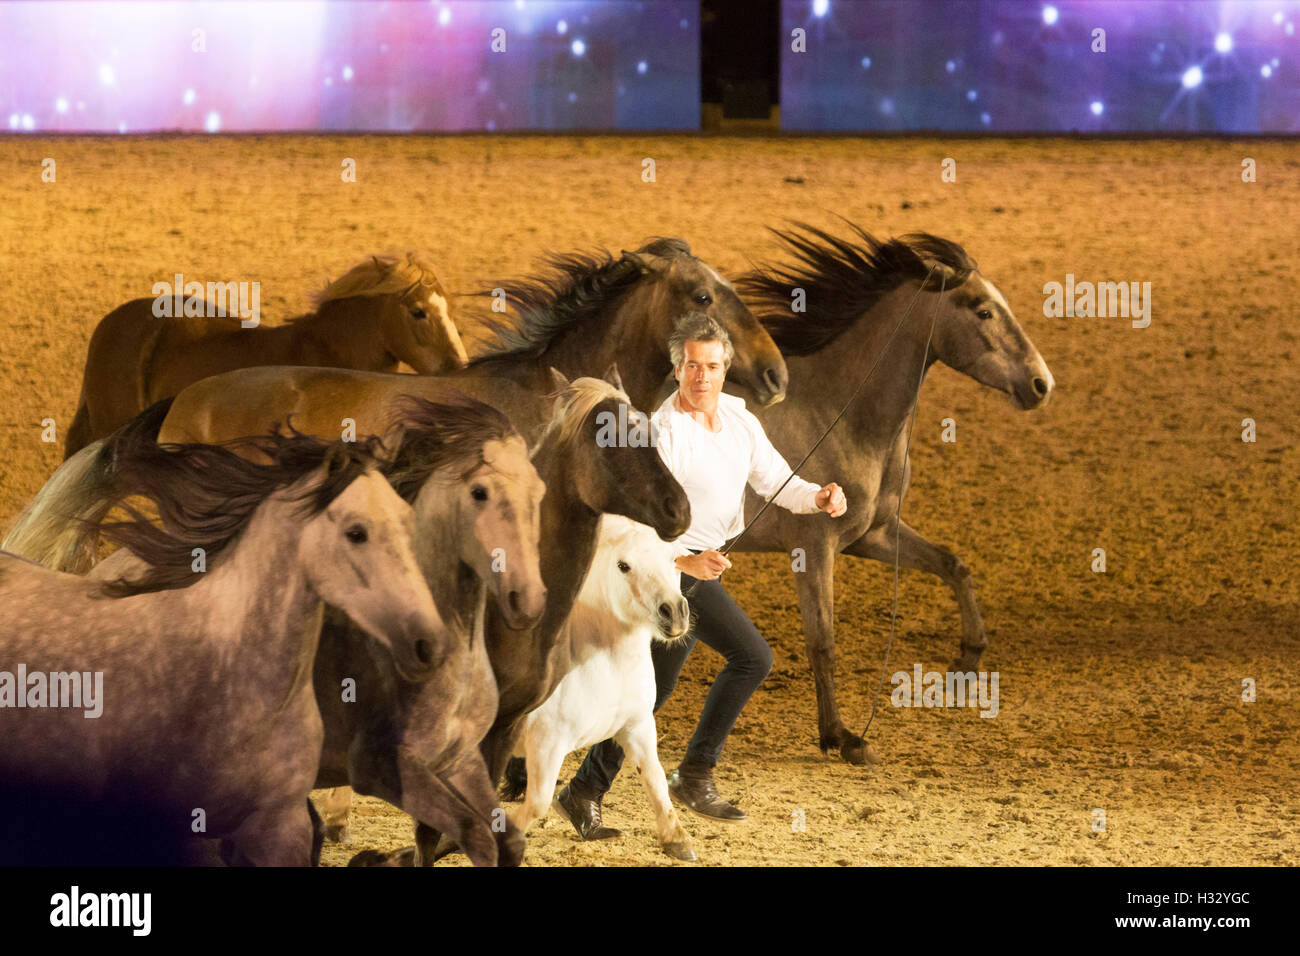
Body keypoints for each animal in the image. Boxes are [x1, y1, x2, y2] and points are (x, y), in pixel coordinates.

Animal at [512, 520, 702, 863]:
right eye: (623, 565)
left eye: (673, 558)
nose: (674, 612)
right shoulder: (546, 744)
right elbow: (536, 804)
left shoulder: (637, 727)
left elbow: (655, 778)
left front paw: (677, 840)